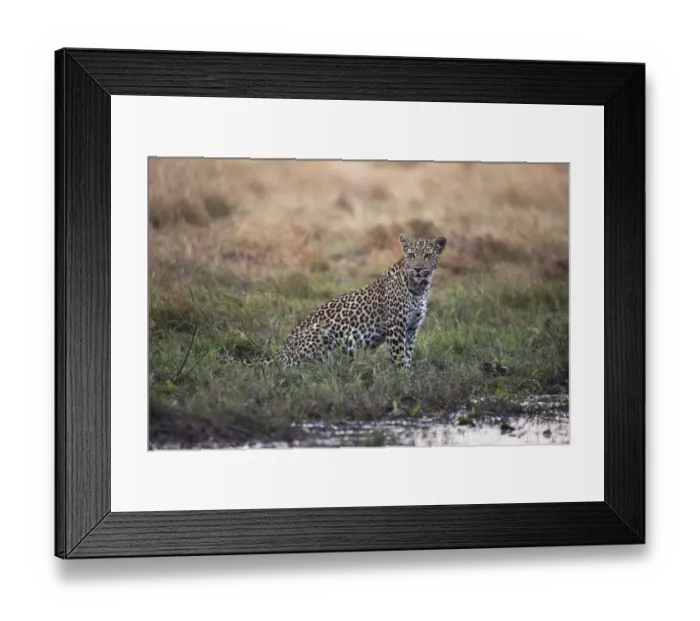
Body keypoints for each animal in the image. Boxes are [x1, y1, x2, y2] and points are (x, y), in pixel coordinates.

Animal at [228, 234, 447, 370]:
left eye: (427, 255)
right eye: (411, 255)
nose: (418, 268)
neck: (419, 288)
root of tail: (283, 351)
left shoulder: (411, 328)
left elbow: (407, 355)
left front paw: (408, 377)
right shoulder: (396, 327)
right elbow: (399, 356)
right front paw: (401, 379)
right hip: (321, 333)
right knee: (299, 368)